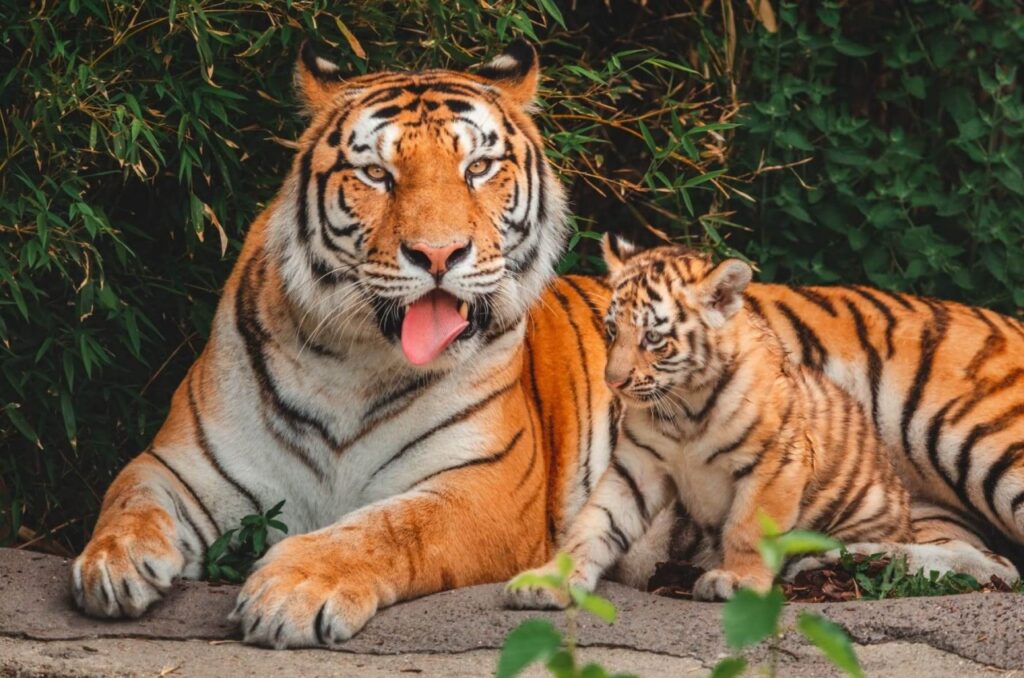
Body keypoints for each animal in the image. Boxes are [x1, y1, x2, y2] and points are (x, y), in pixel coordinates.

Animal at [74, 41, 614, 647]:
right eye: (377, 174)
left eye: (477, 168)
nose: (439, 253)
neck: (355, 364)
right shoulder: (184, 465)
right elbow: (130, 496)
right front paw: (112, 562)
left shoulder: (486, 485)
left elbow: (393, 528)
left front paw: (293, 590)